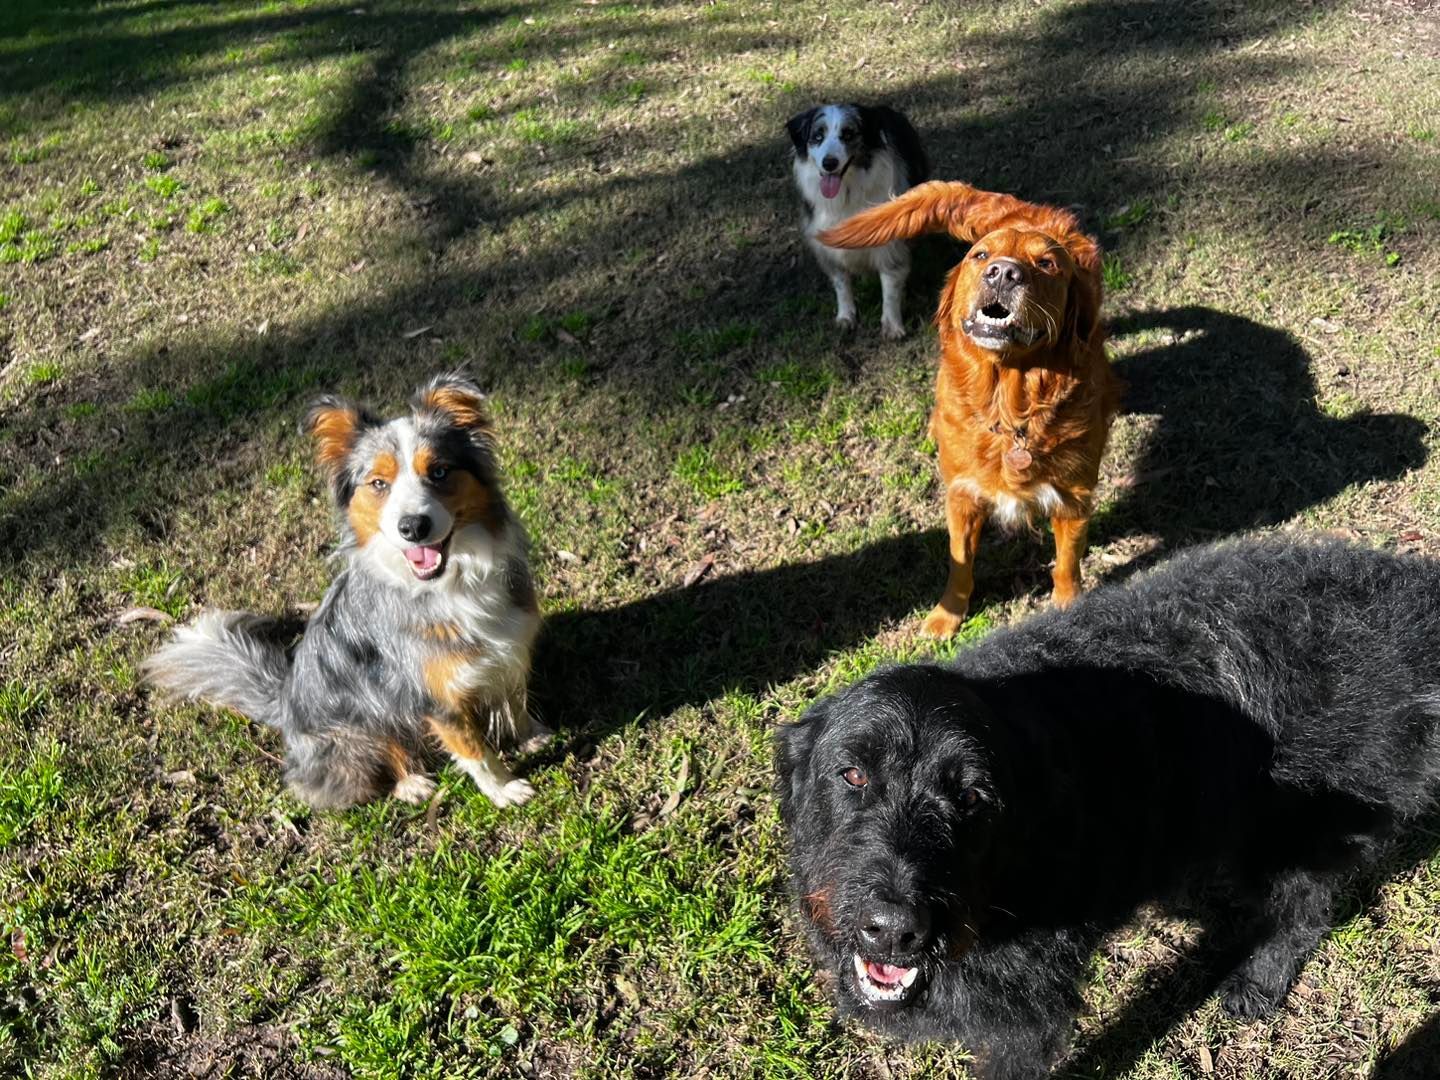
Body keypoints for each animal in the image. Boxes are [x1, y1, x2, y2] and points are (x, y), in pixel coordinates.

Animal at [777, 541, 1440, 1080]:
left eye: (970, 797)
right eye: (853, 774)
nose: (893, 928)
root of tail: (1413, 599)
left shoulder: (1026, 1019)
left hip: (1302, 833)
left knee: (1303, 909)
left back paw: (1257, 981)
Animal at [817, 182, 1117, 639]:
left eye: (1047, 264)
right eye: (980, 256)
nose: (1004, 272)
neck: (1009, 408)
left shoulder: (1072, 498)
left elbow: (1066, 564)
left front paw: (1068, 606)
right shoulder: (963, 495)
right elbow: (960, 564)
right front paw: (947, 616)